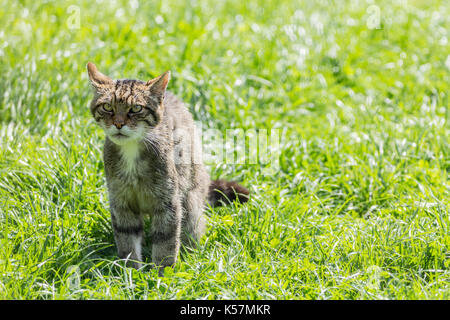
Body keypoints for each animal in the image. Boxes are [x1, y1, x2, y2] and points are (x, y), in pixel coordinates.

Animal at [87, 62, 250, 270]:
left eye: (136, 108)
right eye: (107, 107)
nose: (118, 124)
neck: (131, 151)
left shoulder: (168, 202)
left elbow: (166, 241)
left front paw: (162, 273)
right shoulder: (121, 201)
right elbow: (127, 240)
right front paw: (130, 271)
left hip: (190, 202)